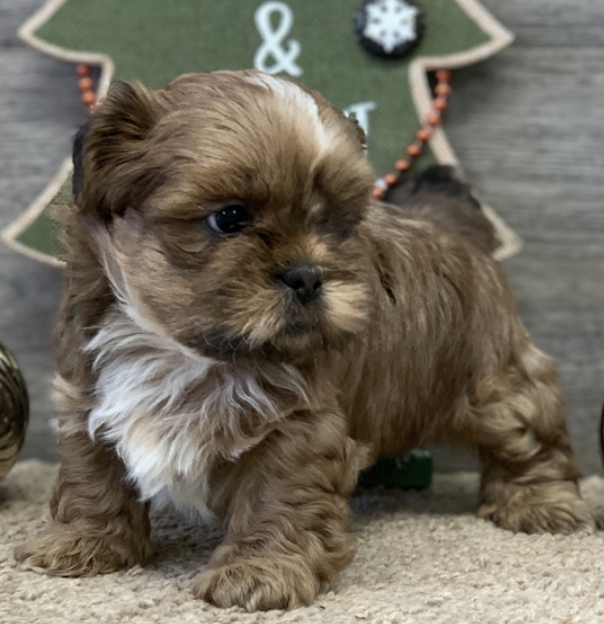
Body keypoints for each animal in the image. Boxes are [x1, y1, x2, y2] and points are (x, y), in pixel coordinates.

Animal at [15, 70, 594, 611]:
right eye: (229, 217)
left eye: (336, 222)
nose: (308, 275)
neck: (183, 350)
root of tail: (453, 232)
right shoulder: (87, 393)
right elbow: (93, 473)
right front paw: (85, 543)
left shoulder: (300, 426)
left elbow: (278, 495)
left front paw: (260, 572)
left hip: (494, 378)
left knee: (529, 435)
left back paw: (540, 503)